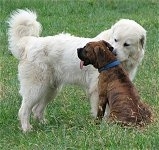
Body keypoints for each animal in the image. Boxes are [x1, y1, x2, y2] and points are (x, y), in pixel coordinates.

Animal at [8, 9, 146, 132]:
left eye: (126, 44)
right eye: (116, 40)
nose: (114, 52)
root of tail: (30, 42)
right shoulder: (97, 90)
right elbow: (102, 112)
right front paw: (103, 127)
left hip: (51, 89)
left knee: (37, 110)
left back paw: (45, 125)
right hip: (36, 88)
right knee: (24, 110)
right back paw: (26, 129)